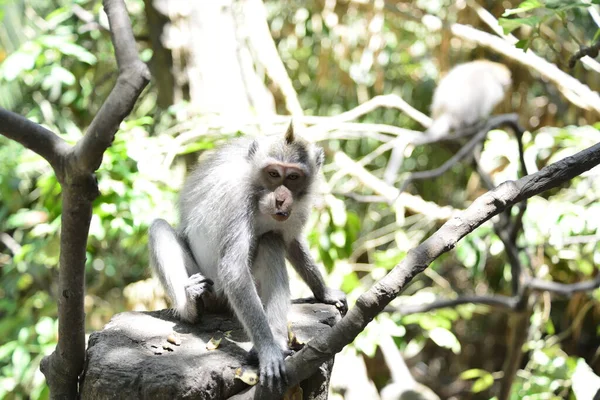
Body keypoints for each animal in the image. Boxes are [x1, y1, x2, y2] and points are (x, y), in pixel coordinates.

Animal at [148, 124, 350, 390]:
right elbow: (234, 268)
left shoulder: (296, 208)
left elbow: (291, 242)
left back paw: (278, 340)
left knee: (271, 241)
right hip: (214, 289)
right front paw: (268, 352)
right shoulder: (238, 197)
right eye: (273, 173)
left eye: (293, 177)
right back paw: (190, 307)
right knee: (159, 228)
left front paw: (325, 293)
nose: (280, 199)